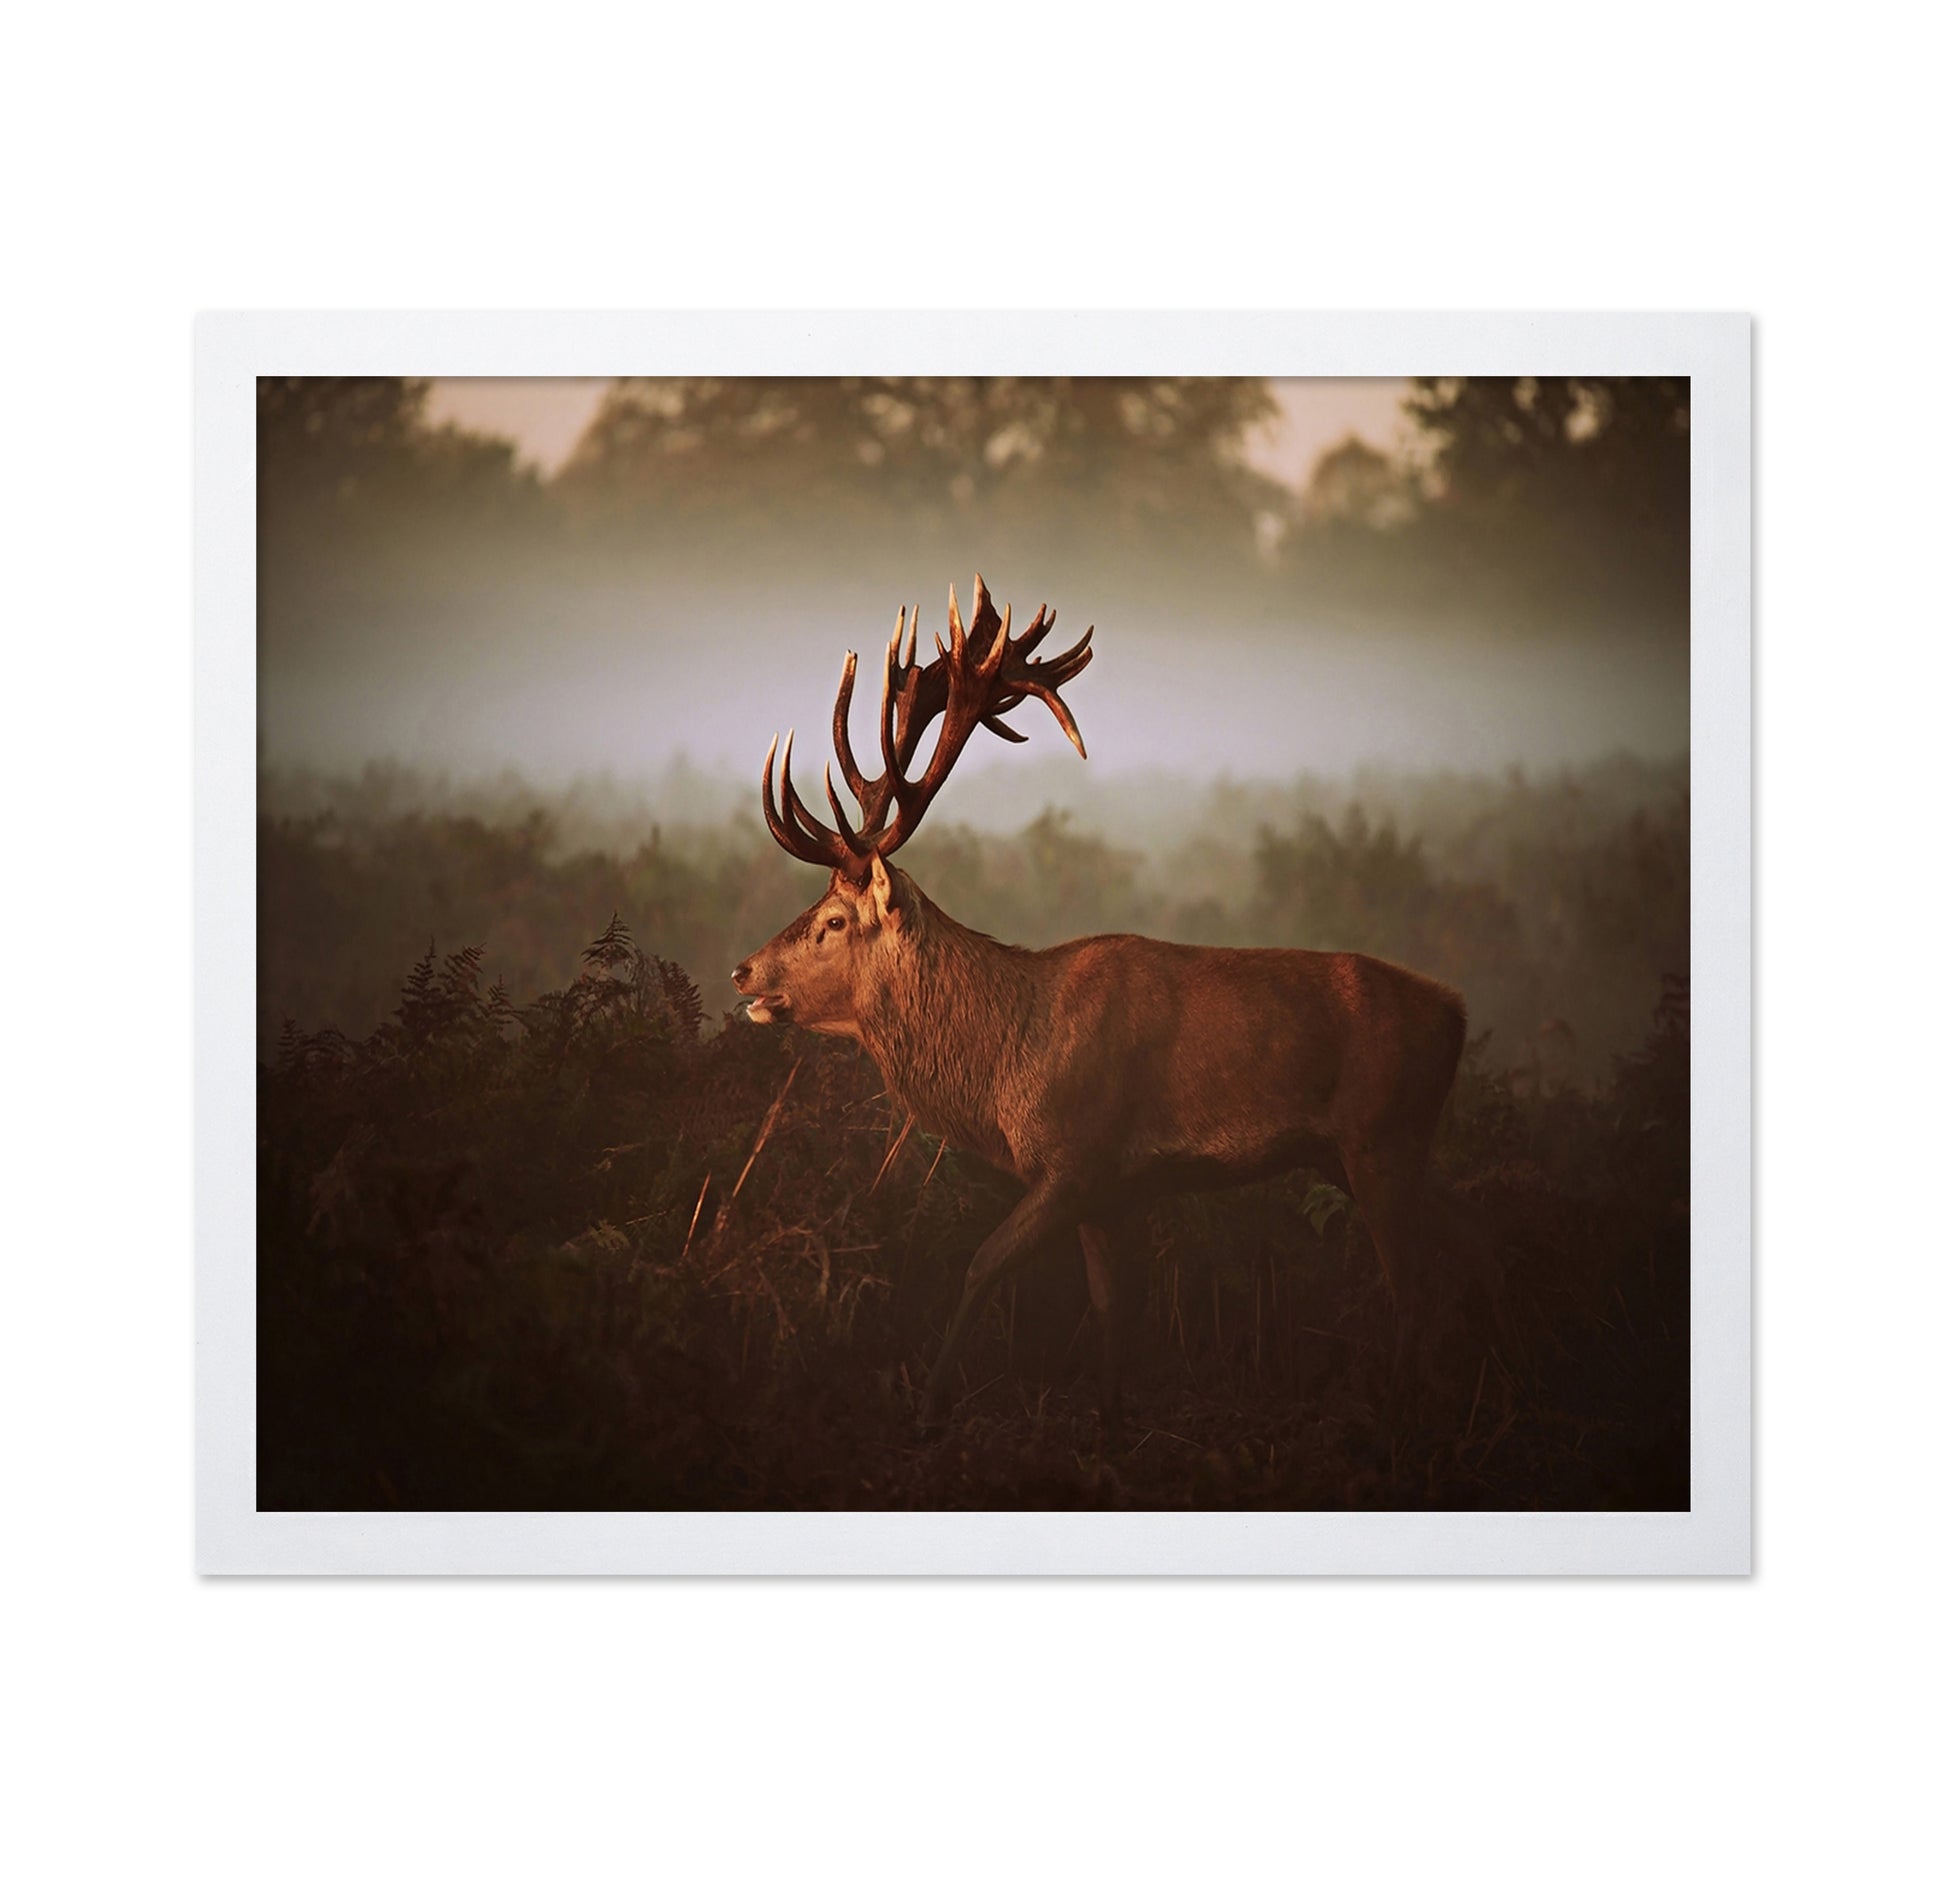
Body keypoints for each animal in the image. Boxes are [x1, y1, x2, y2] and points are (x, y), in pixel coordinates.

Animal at [732, 576, 1468, 1437]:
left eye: (833, 920)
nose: (743, 971)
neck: (1006, 1065)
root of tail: (1456, 1012)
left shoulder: (1075, 1159)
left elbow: (981, 1264)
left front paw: (931, 1404)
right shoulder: (1112, 1193)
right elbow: (1115, 1311)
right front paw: (1114, 1418)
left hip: (1383, 1137)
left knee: (1415, 1286)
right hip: (1367, 1153)